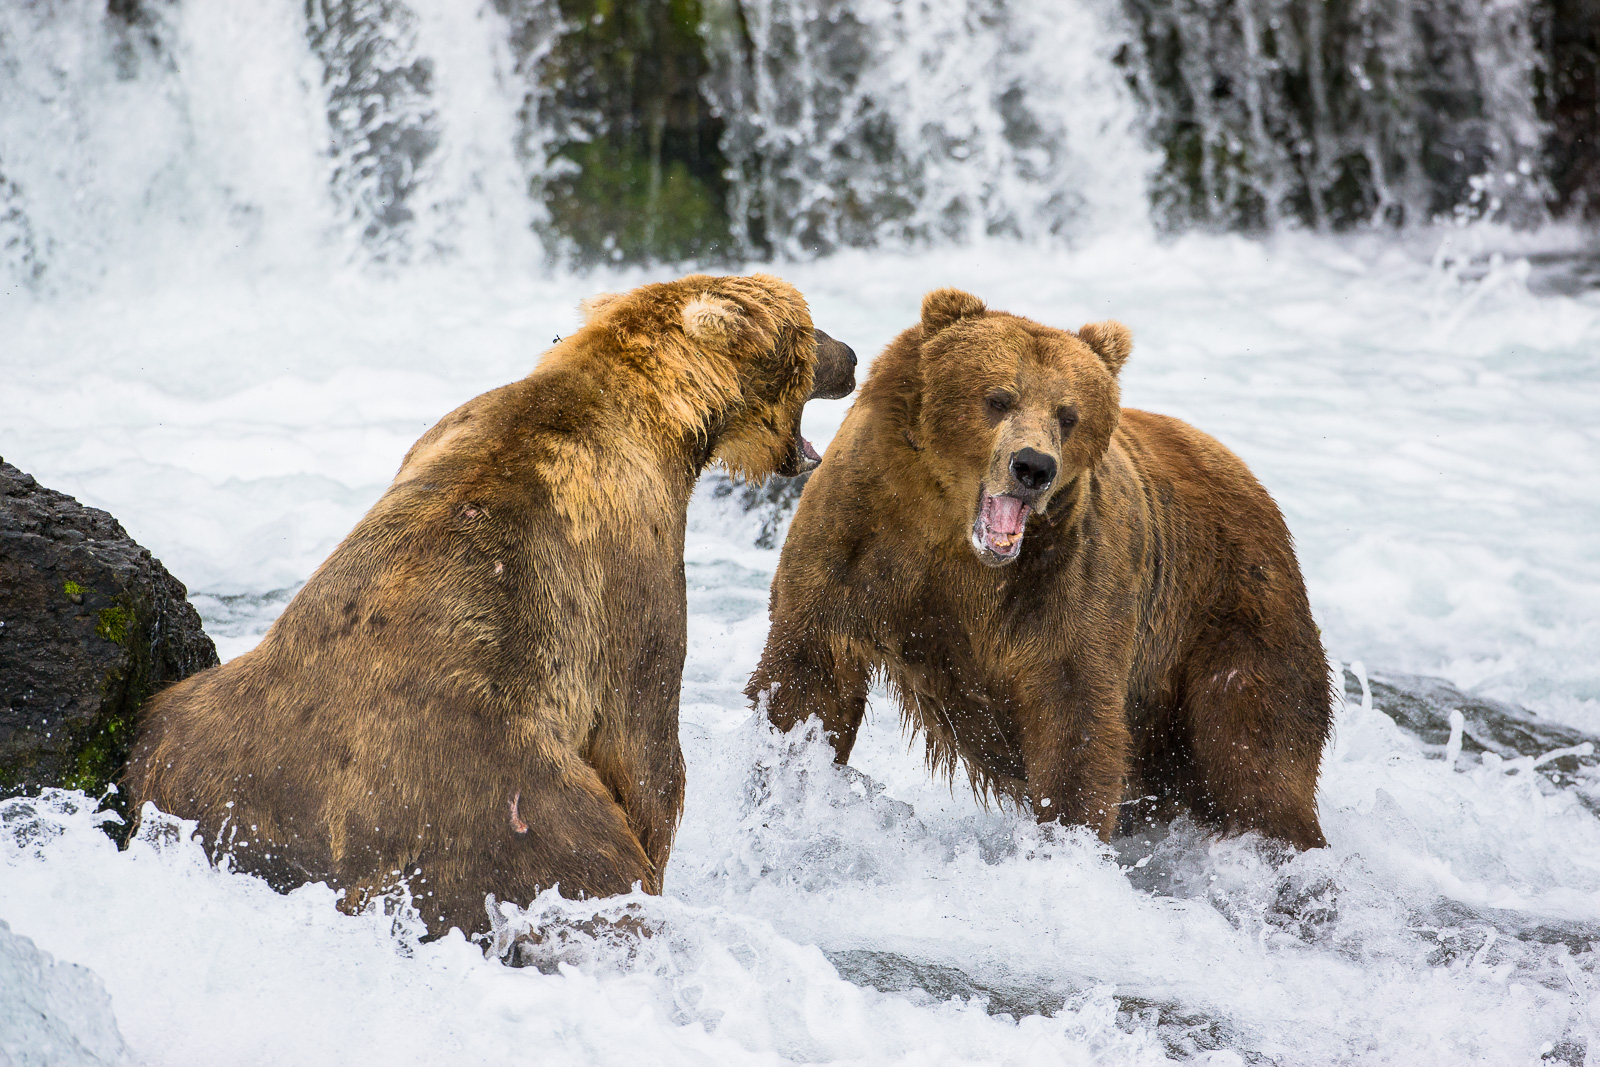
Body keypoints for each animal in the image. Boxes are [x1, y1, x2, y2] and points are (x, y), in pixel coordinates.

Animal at [123, 273, 857, 934]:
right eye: (806, 326)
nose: (849, 355)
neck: (655, 413)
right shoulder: (633, 551)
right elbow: (642, 734)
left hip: (205, 752)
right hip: (505, 802)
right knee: (582, 859)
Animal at [755, 286, 1331, 851]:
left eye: (1067, 414)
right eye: (998, 398)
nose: (1033, 466)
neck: (951, 535)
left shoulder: (1065, 584)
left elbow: (1074, 724)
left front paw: (1065, 841)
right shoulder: (857, 545)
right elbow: (807, 684)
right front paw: (781, 783)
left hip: (1229, 612)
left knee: (1253, 756)